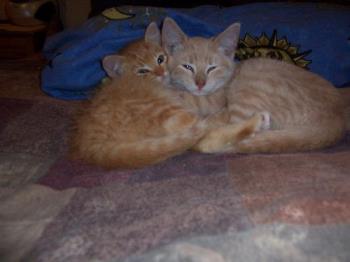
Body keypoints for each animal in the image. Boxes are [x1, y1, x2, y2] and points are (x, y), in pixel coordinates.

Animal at [72, 23, 268, 170]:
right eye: (142, 71)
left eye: (160, 59)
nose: (161, 73)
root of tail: (89, 142)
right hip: (164, 110)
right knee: (205, 134)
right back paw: (255, 120)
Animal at [163, 17, 346, 154]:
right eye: (187, 67)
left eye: (212, 68)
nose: (200, 84)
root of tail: (336, 122)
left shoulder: (214, 100)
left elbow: (190, 99)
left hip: (248, 92)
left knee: (212, 137)